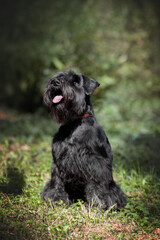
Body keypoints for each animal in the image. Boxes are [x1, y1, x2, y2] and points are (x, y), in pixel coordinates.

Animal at [43, 71, 125, 210]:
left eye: (75, 81)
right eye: (58, 76)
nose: (55, 82)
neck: (73, 123)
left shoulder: (96, 163)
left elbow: (97, 185)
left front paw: (98, 204)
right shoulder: (58, 161)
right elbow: (57, 181)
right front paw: (57, 200)